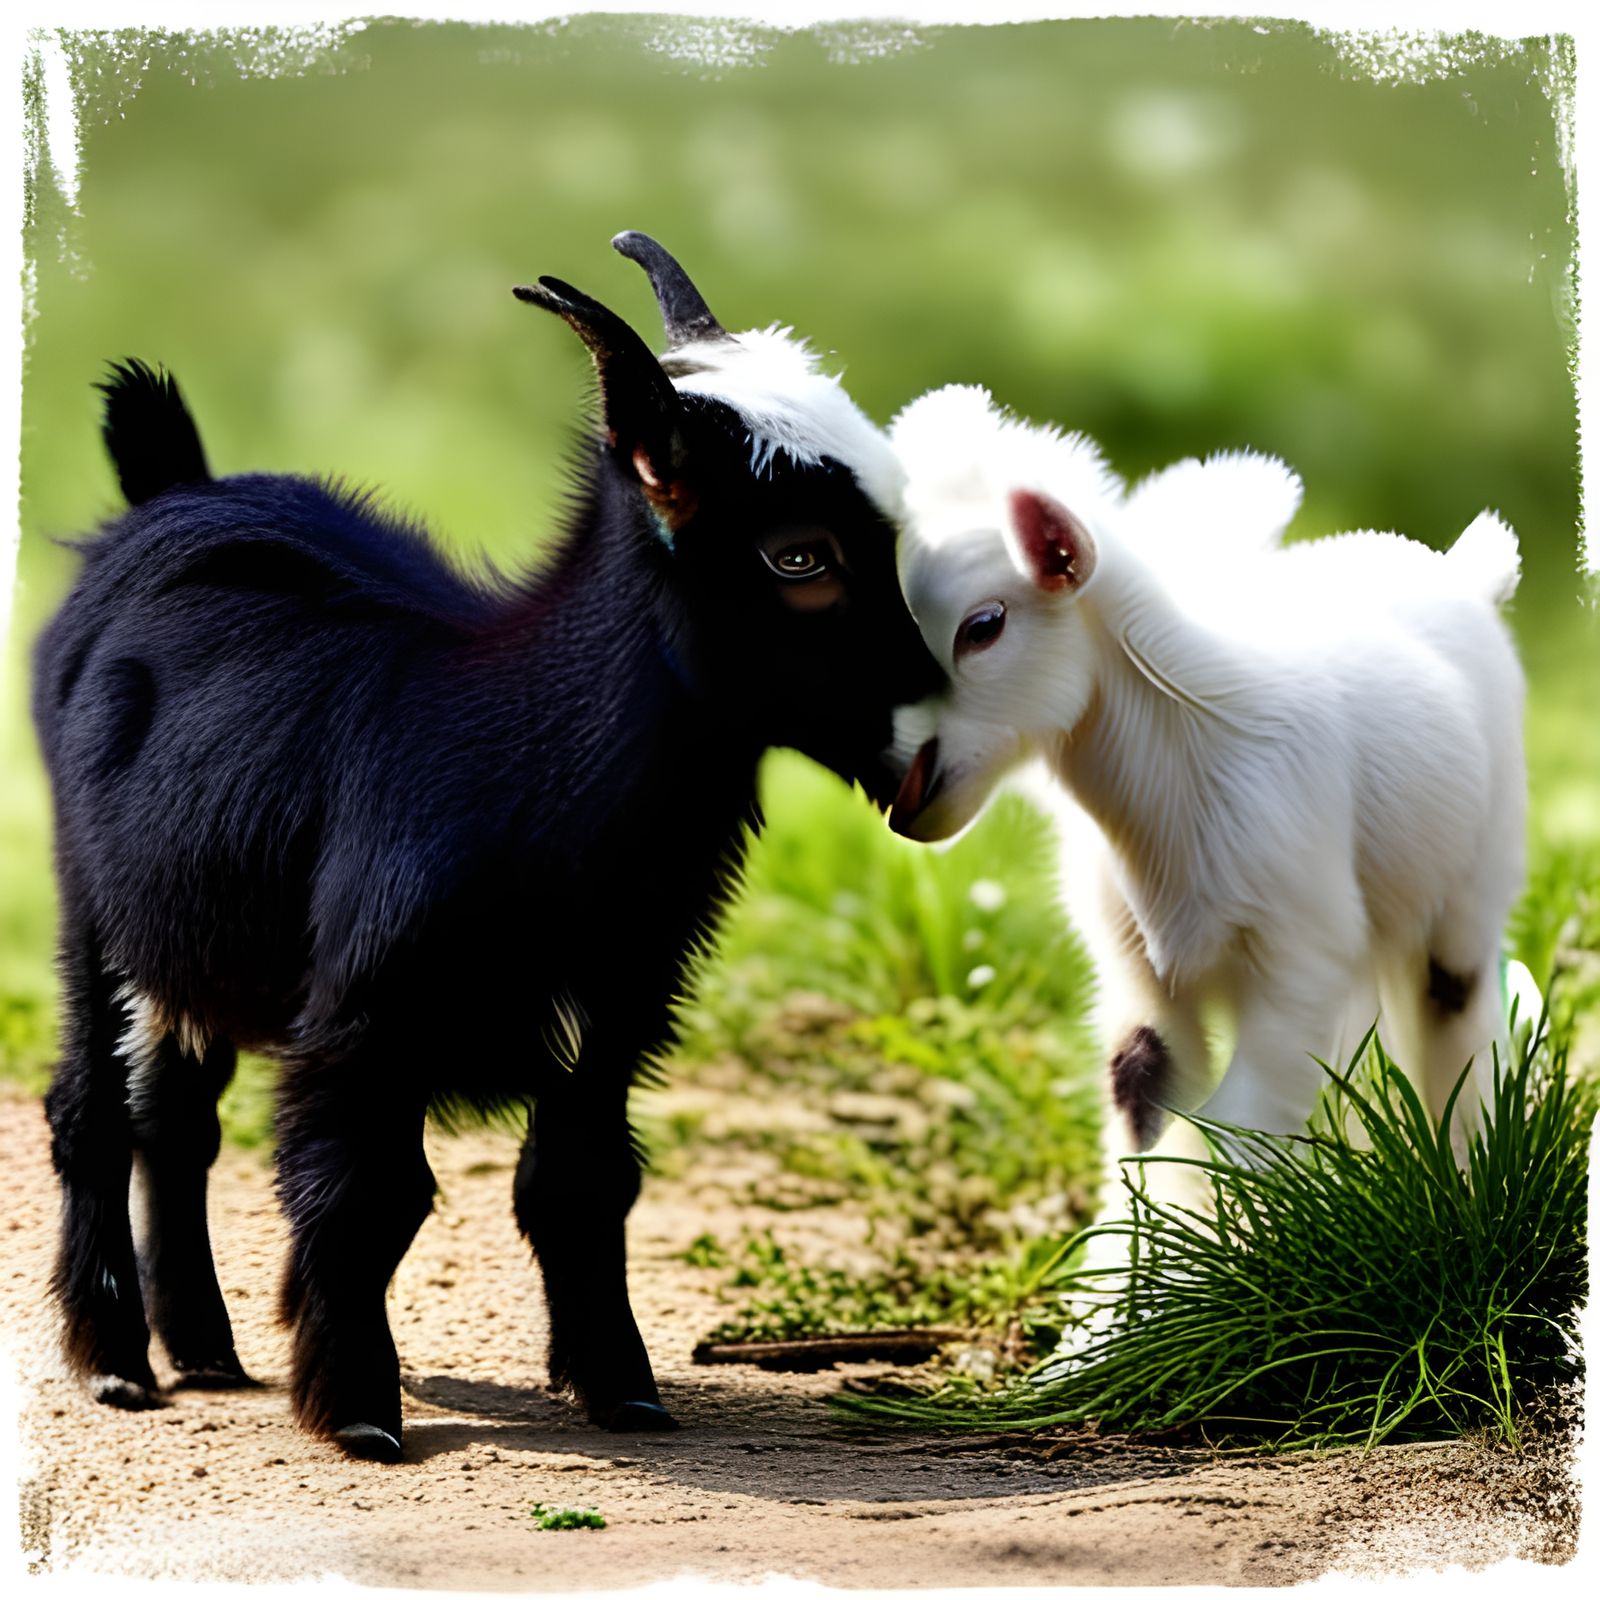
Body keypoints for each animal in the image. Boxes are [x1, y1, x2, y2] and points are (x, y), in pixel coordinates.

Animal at [33, 234, 943, 1462]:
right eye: (800, 558)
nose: (937, 742)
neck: (520, 747)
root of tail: (176, 489)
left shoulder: (623, 994)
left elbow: (583, 1177)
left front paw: (621, 1389)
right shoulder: (367, 1010)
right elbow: (368, 1191)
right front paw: (357, 1409)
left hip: (200, 919)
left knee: (175, 1115)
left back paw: (209, 1353)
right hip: (91, 900)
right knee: (91, 1107)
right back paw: (118, 1364)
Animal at [884, 383, 1525, 1189]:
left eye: (984, 625)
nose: (900, 794)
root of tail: (1463, 572)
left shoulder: (1301, 956)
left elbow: (1236, 1133)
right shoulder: (1137, 973)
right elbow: (1140, 1112)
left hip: (1475, 878)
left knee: (1457, 1012)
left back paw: (1464, 1175)